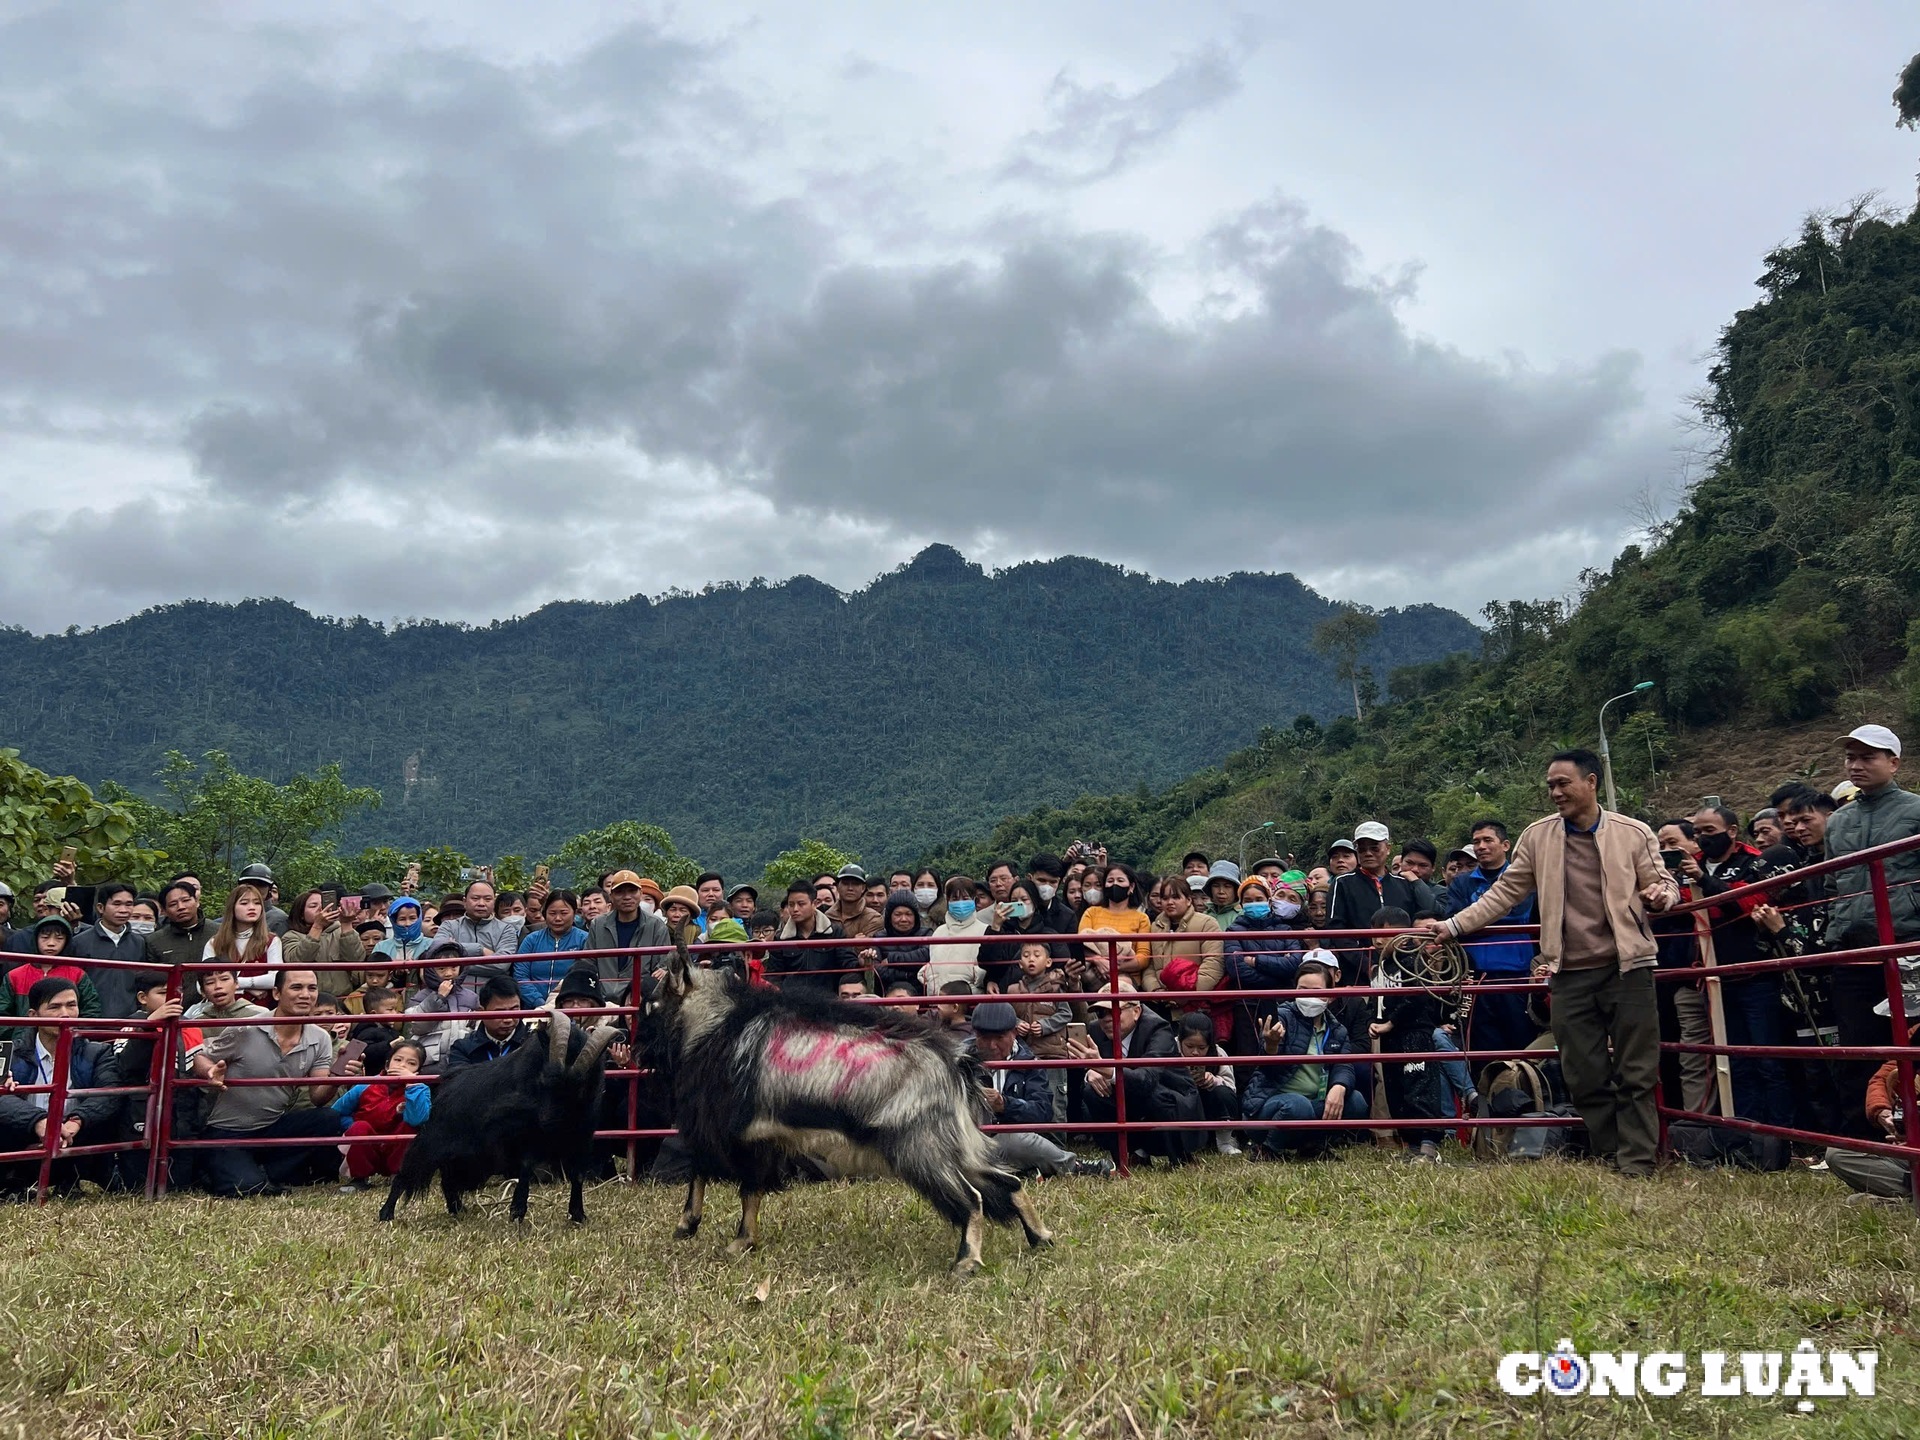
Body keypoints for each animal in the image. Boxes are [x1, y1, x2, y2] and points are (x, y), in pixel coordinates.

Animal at [372, 1006, 614, 1228]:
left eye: (580, 1088)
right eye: (544, 1080)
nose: (548, 1123)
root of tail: (442, 1090)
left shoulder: (581, 1137)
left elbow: (577, 1175)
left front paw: (578, 1215)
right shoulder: (525, 1134)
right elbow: (526, 1168)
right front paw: (517, 1214)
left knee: (447, 1180)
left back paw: (458, 1209)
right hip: (431, 1143)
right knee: (406, 1175)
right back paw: (386, 1214)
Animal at [645, 936, 1052, 1274]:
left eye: (652, 1003)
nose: (640, 1048)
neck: (718, 1024)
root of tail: (956, 1063)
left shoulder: (728, 1129)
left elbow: (711, 1173)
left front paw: (698, 1228)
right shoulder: (760, 1137)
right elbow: (750, 1190)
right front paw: (735, 1239)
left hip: (922, 1148)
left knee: (973, 1199)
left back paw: (967, 1262)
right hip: (955, 1145)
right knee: (1008, 1181)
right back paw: (1041, 1237)